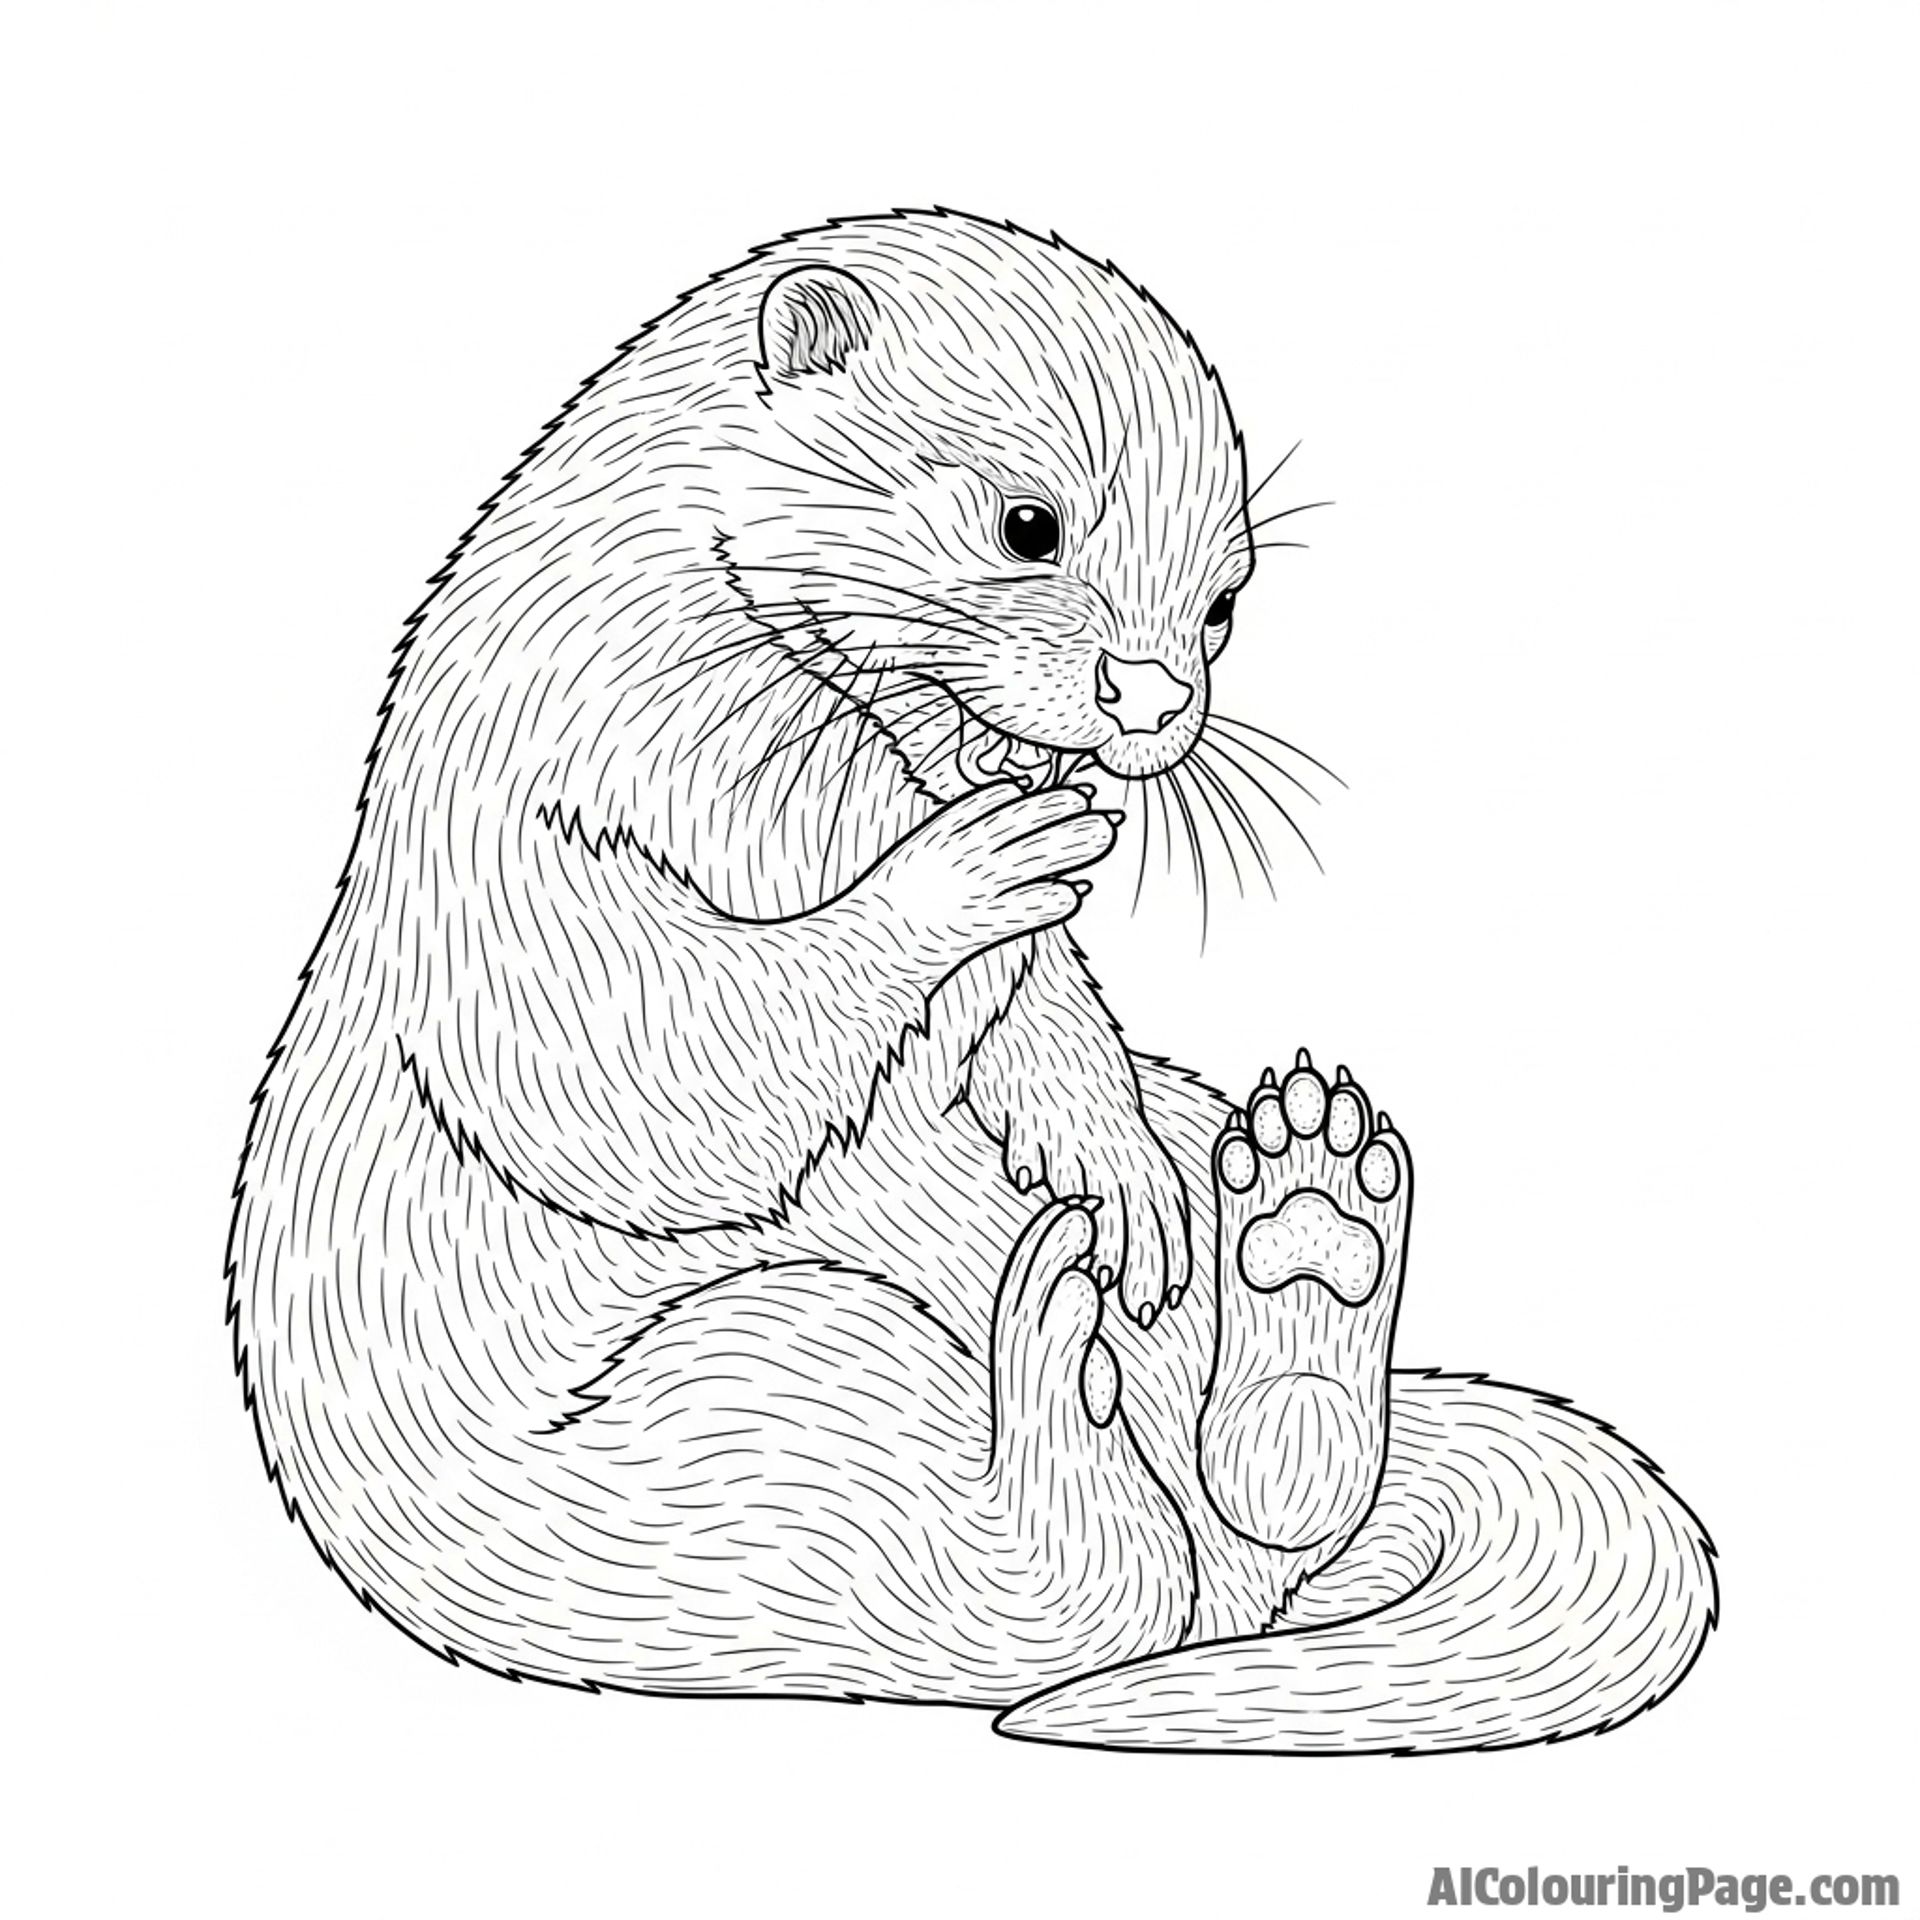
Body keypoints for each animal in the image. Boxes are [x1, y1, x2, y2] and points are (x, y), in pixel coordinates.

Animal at [227, 210, 1716, 1750]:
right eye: (1028, 525)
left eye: (1223, 603)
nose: (1153, 698)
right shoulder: (516, 876)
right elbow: (636, 1088)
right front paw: (970, 868)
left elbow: (1043, 1019)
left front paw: (1118, 1169)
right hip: (744, 1416)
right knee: (1077, 1589)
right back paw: (1065, 1329)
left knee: (1229, 1530)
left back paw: (1301, 1220)